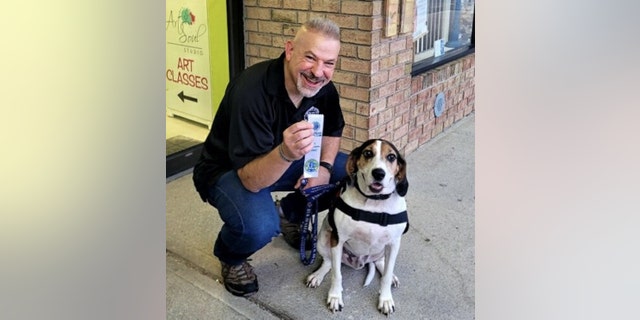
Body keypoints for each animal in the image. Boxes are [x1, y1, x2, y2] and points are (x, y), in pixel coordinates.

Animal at [306, 138, 410, 316]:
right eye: (368, 153)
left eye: (391, 157)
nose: (379, 173)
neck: (374, 202)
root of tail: (361, 262)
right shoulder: (338, 240)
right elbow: (337, 274)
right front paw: (335, 297)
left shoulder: (394, 243)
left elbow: (386, 276)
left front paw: (385, 299)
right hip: (323, 238)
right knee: (329, 262)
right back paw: (318, 275)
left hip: (383, 250)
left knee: (380, 262)